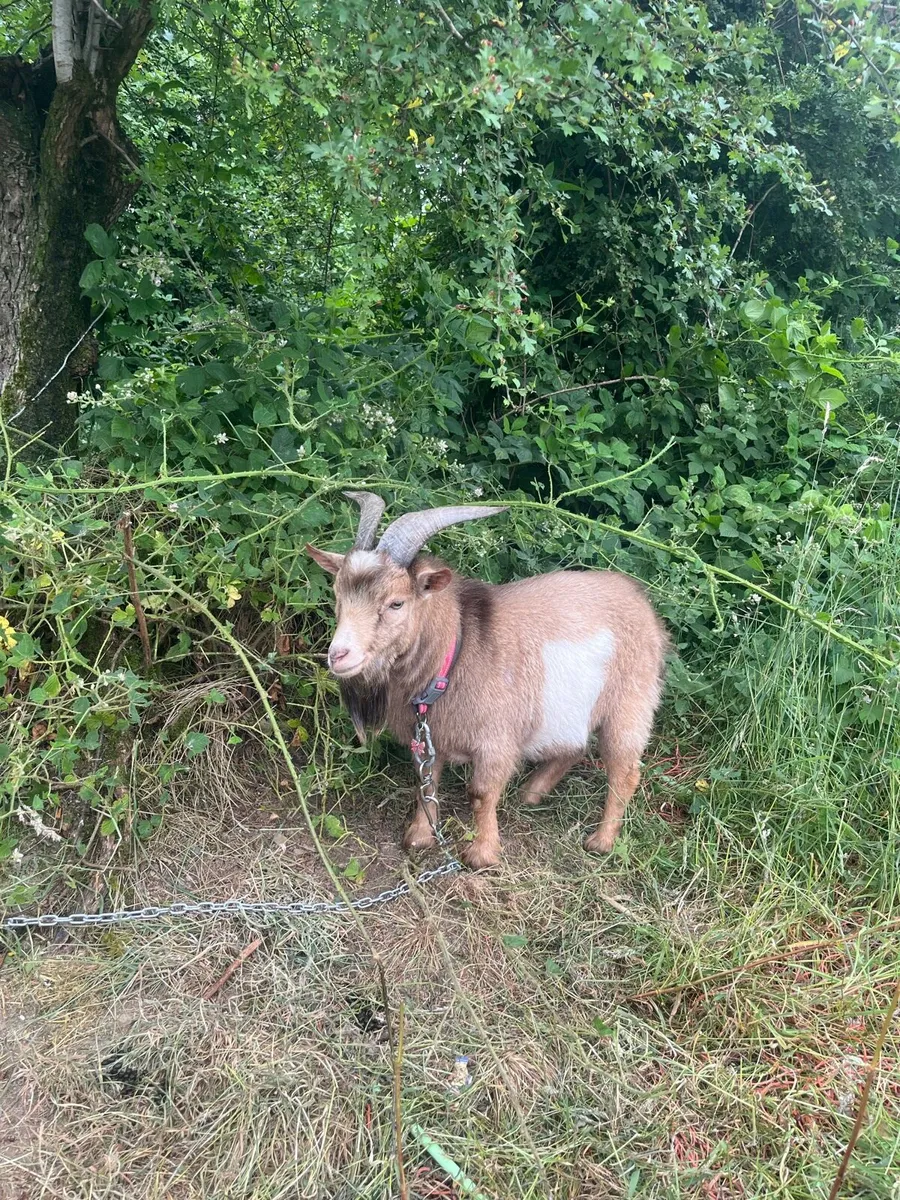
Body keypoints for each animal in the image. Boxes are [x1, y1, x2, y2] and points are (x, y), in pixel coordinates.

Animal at [306, 493, 669, 868]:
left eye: (396, 603)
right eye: (338, 595)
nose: (339, 655)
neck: (456, 650)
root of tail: (644, 606)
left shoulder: (496, 741)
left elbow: (480, 793)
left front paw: (481, 854)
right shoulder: (428, 738)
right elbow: (426, 784)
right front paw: (420, 837)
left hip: (630, 704)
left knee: (625, 770)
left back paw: (601, 841)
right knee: (575, 746)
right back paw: (532, 792)